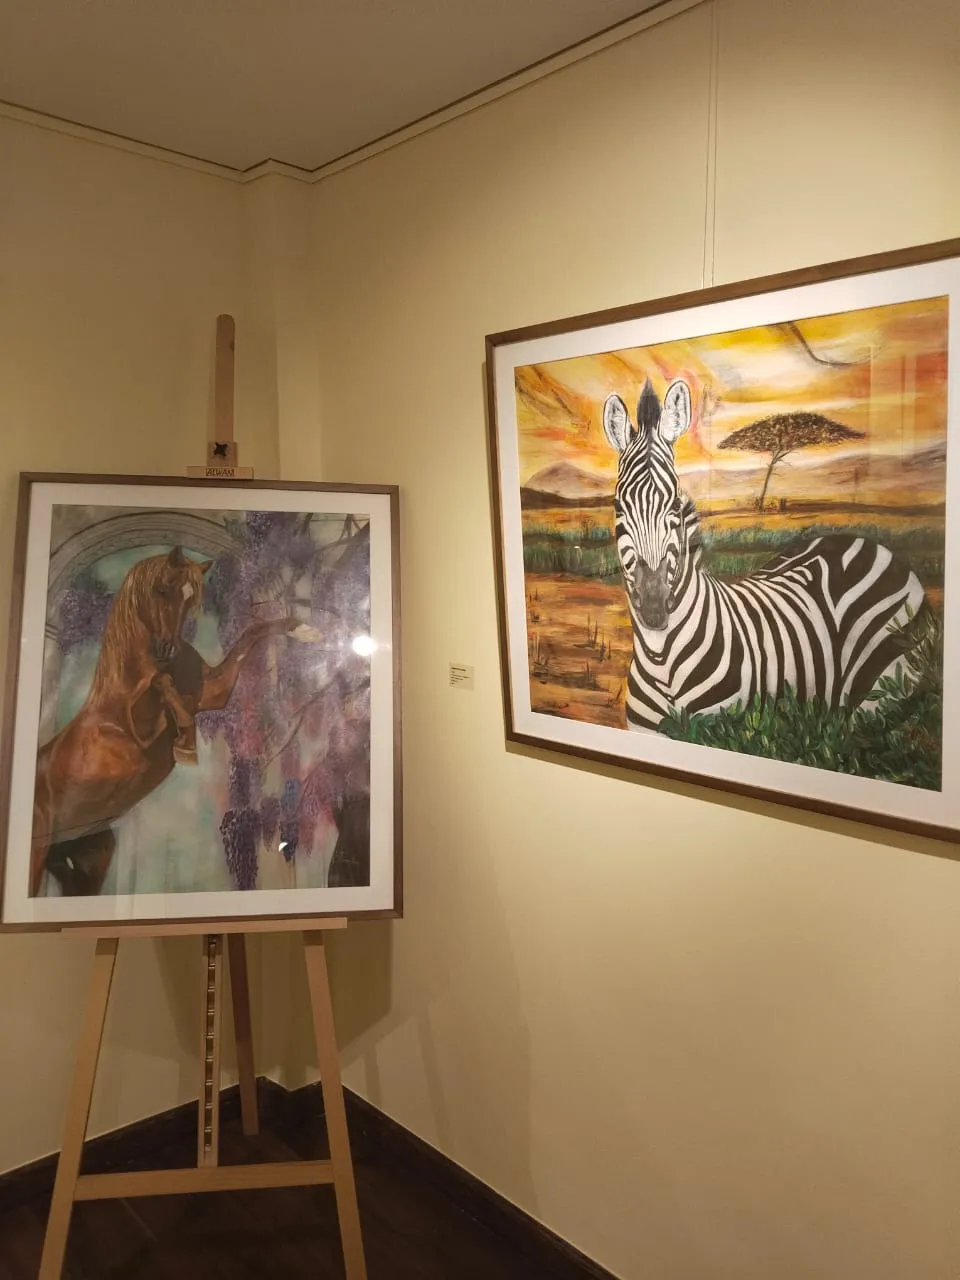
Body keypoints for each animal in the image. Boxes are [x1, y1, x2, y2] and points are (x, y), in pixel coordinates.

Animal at [31, 546, 309, 897]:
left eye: (191, 599)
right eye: (162, 589)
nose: (168, 648)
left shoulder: (213, 694)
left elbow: (248, 637)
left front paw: (304, 629)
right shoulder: (140, 731)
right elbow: (162, 682)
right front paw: (186, 742)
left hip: (89, 855)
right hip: (38, 851)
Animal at [602, 378, 925, 730]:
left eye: (674, 504)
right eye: (618, 506)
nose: (654, 607)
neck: (662, 658)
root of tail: (858, 540)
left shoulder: (722, 729)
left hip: (881, 697)